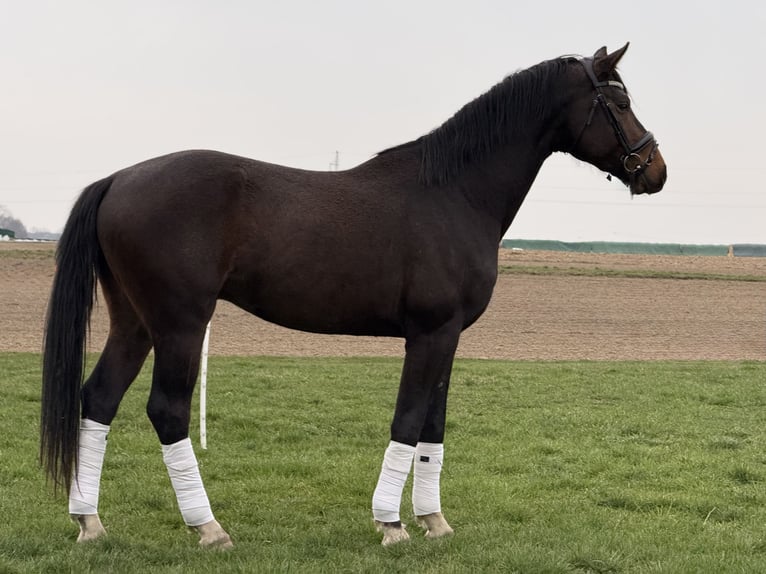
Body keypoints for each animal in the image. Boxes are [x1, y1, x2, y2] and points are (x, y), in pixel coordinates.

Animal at [40, 43, 666, 548]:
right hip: (180, 326)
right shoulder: (429, 333)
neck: (454, 192)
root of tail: (118, 179)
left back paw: (90, 522)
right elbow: (408, 419)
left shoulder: (447, 337)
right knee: (166, 410)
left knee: (98, 399)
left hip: (135, 323)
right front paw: (392, 525)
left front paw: (434, 520)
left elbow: (434, 424)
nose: (655, 169)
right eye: (619, 100)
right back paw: (208, 528)